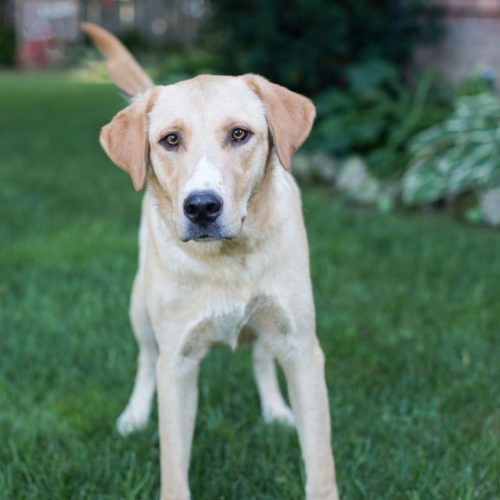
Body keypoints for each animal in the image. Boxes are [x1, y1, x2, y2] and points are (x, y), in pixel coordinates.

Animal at [83, 21, 340, 498]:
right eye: (170, 139)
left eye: (239, 134)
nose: (202, 207)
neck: (229, 257)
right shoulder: (177, 363)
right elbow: (173, 464)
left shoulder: (302, 347)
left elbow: (320, 459)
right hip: (139, 307)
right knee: (145, 359)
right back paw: (134, 416)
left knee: (261, 355)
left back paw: (275, 409)